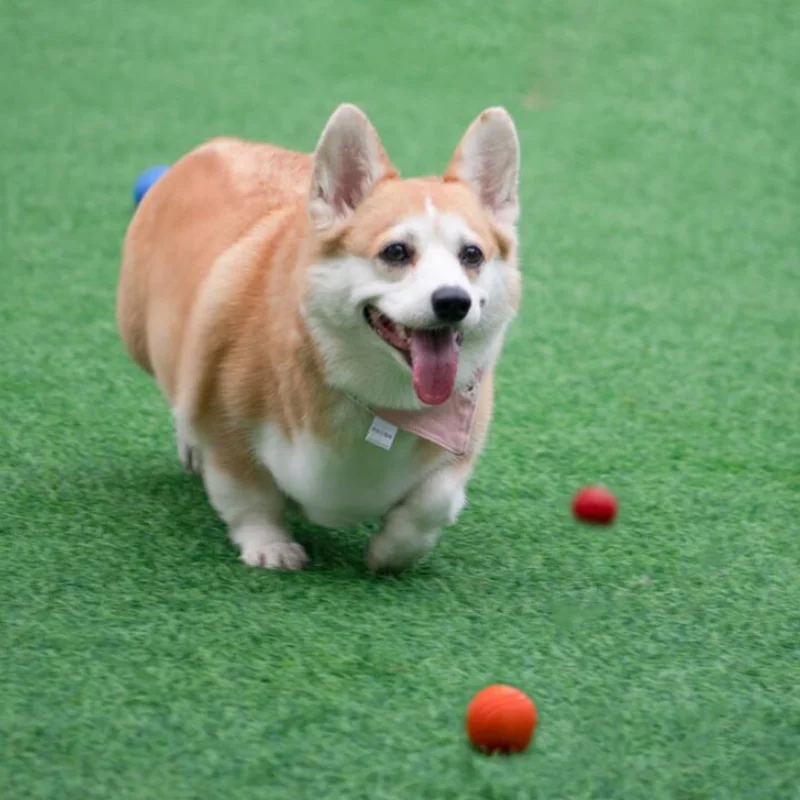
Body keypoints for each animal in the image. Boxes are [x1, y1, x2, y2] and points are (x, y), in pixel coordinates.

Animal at [115, 103, 520, 572]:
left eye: (471, 254)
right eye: (396, 252)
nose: (453, 301)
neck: (381, 402)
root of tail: (213, 147)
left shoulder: (459, 447)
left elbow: (432, 503)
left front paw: (391, 554)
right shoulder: (226, 429)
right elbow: (250, 497)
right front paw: (271, 548)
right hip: (139, 339)